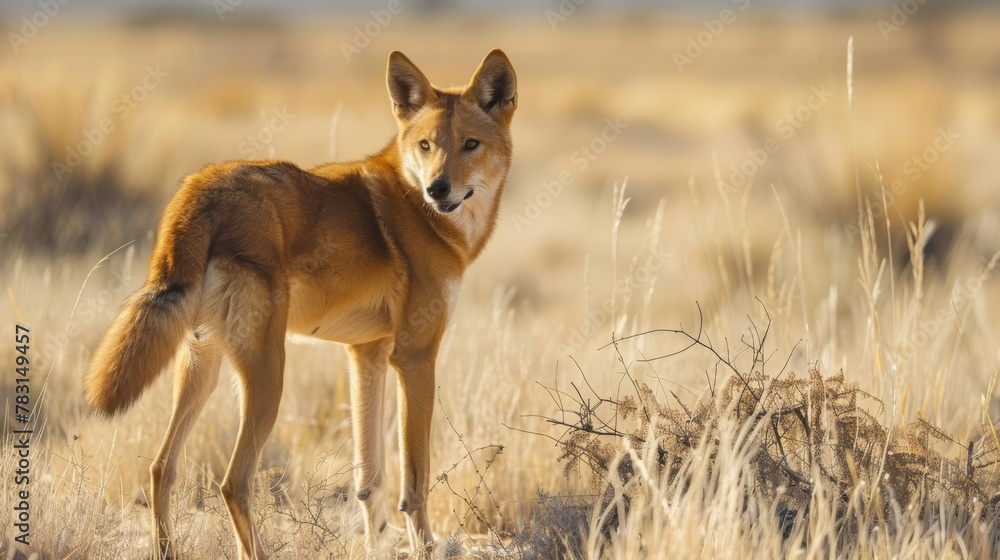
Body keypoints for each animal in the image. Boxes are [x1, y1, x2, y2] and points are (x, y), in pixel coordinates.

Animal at [84, 50, 516, 556]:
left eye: (470, 144)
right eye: (426, 146)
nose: (438, 188)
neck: (423, 214)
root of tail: (198, 189)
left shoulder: (366, 356)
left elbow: (370, 481)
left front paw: (375, 547)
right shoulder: (415, 357)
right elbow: (414, 482)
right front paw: (424, 547)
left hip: (202, 372)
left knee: (161, 468)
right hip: (269, 375)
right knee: (233, 482)